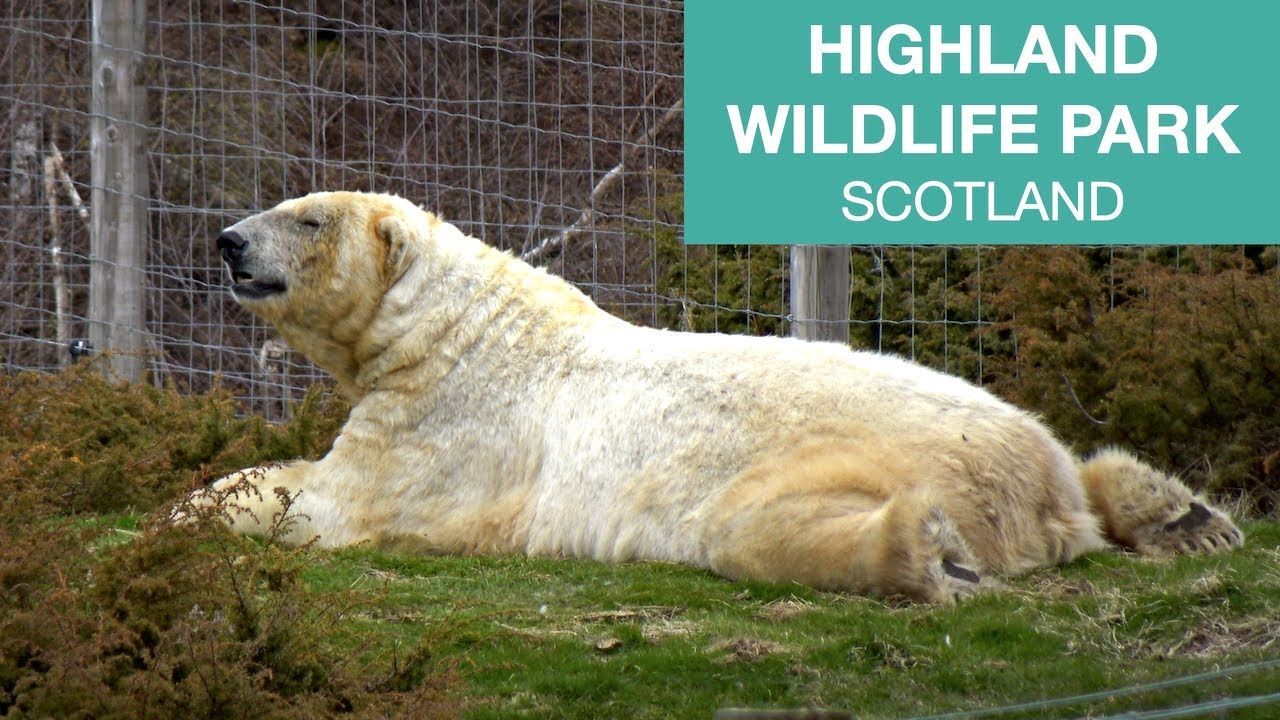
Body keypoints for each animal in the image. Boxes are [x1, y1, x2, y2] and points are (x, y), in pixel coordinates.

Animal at [200, 190, 1243, 603]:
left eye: (308, 218)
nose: (227, 240)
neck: (455, 331)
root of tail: (1031, 487)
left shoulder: (445, 427)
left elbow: (331, 500)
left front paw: (198, 507)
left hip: (834, 460)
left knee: (752, 529)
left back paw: (926, 553)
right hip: (1031, 443)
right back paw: (1185, 515)